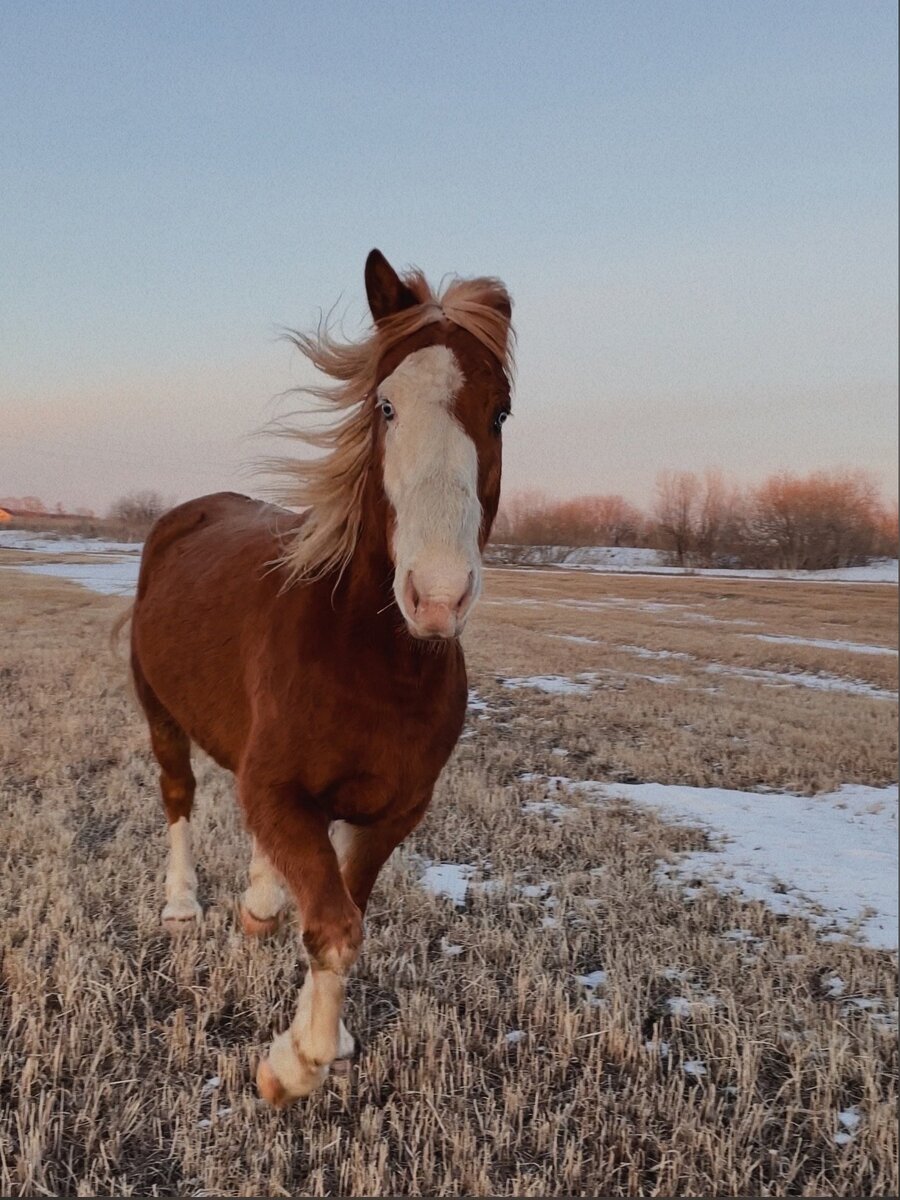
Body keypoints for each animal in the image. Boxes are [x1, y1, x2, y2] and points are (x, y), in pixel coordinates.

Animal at [130, 250, 518, 1104]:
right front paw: (293, 1061)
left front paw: (325, 1036)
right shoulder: (278, 787)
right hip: (159, 713)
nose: (437, 595)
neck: (376, 664)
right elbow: (335, 929)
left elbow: (343, 905)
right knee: (179, 797)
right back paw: (181, 905)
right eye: (386, 406)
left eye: (500, 412)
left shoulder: (393, 810)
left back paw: (259, 902)